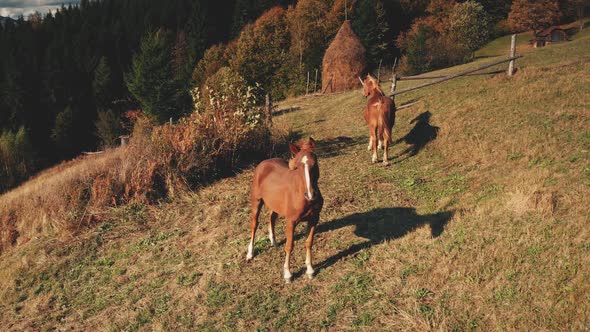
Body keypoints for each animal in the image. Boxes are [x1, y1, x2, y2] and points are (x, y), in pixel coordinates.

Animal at [249, 137, 326, 282]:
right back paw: (250, 253)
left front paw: (310, 270)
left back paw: (273, 242)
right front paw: (288, 274)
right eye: (297, 167)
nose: (311, 195)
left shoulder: (314, 219)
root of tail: (264, 162)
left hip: (274, 204)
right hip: (257, 201)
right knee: (254, 224)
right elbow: (289, 246)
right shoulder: (291, 221)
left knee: (272, 218)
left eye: (315, 163)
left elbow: (309, 242)